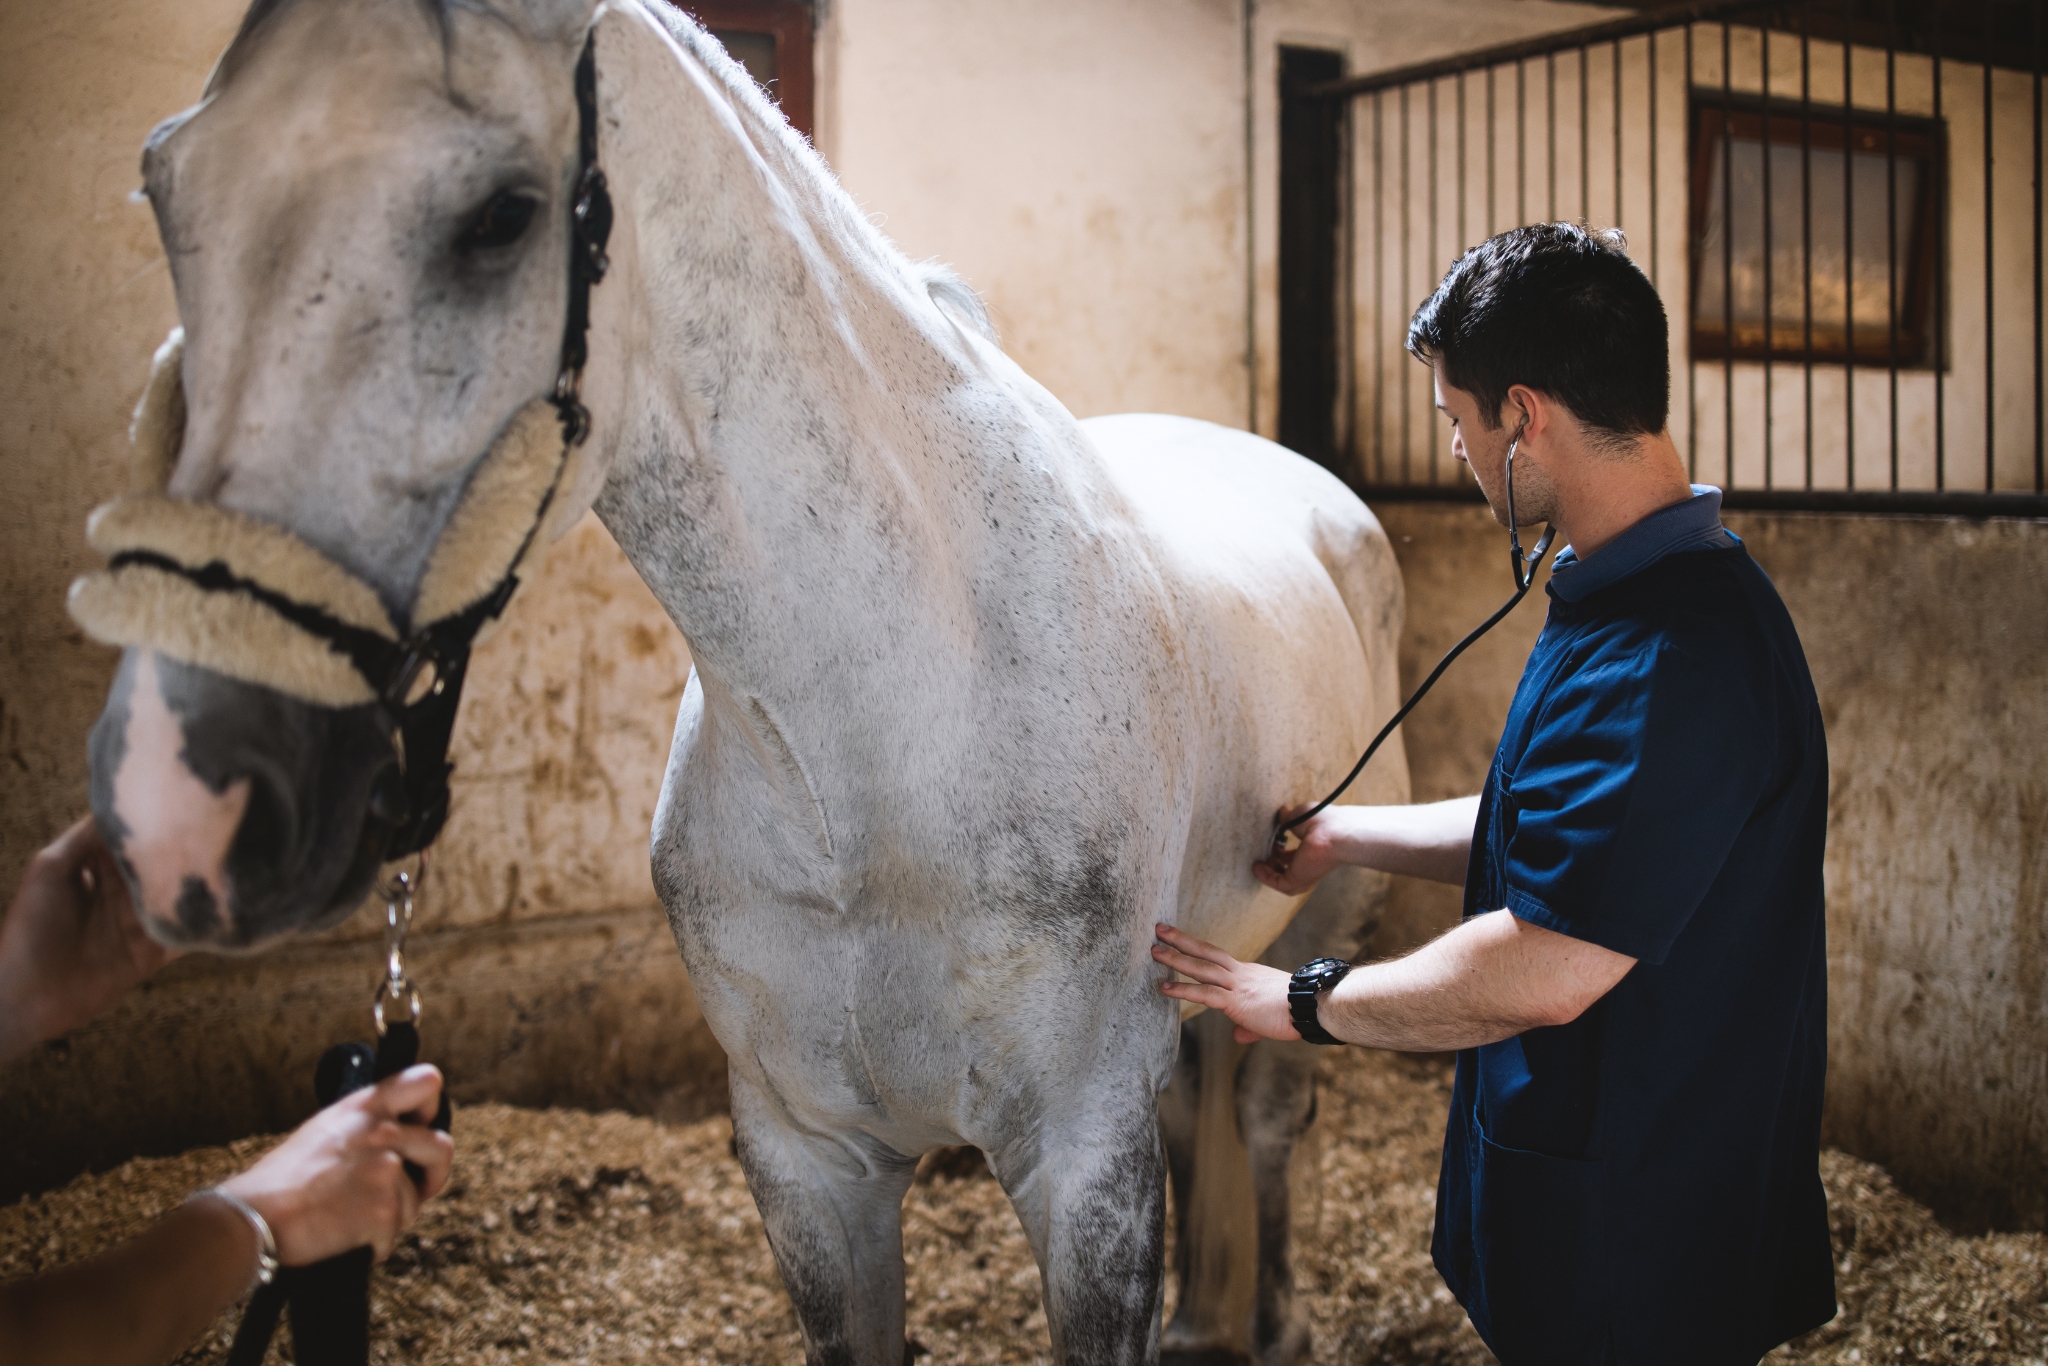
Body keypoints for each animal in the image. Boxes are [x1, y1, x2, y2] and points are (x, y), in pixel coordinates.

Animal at [76, 1, 1409, 1361]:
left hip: (1316, 925)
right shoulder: (806, 1161)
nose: (178, 803)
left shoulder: (1084, 1160)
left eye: (501, 214)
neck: (878, 738)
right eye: (164, 183)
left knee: (1260, 1113)